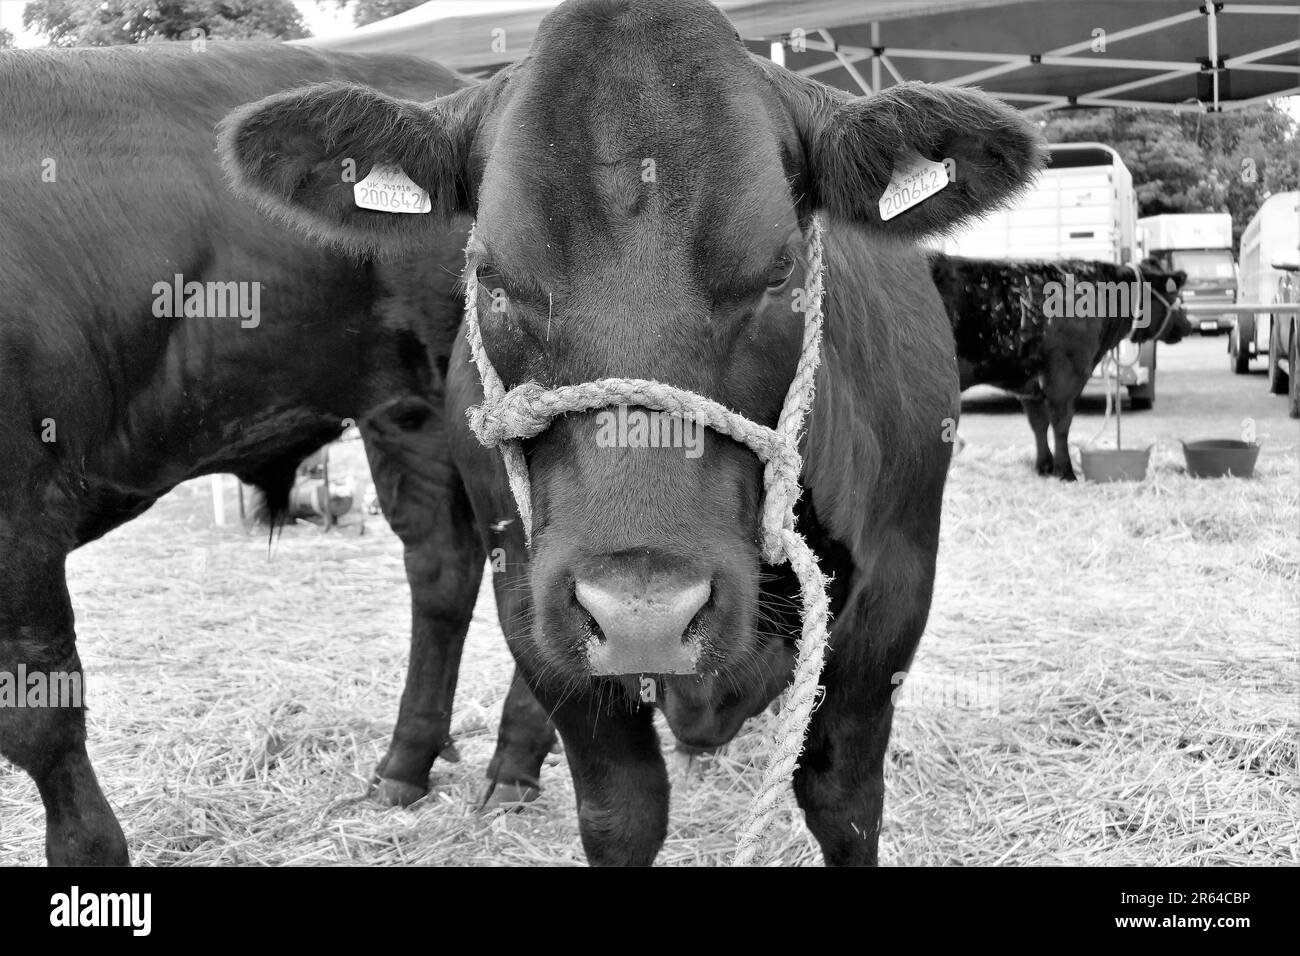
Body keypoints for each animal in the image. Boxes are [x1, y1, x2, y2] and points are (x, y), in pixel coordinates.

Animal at [0, 43, 484, 865]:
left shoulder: (23, 514)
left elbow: (41, 716)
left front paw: (92, 849)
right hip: (402, 410)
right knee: (446, 567)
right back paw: (410, 764)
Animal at [221, 0, 1045, 865]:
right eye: (489, 274)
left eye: (780, 269)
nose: (643, 616)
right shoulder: (527, 593)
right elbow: (621, 811)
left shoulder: (898, 582)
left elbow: (843, 797)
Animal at [929, 255, 1190, 480]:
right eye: (1173, 294)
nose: (1188, 324)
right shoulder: (1066, 377)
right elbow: (1061, 425)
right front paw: (1065, 471)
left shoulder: (1029, 386)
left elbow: (1038, 424)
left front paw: (1044, 467)